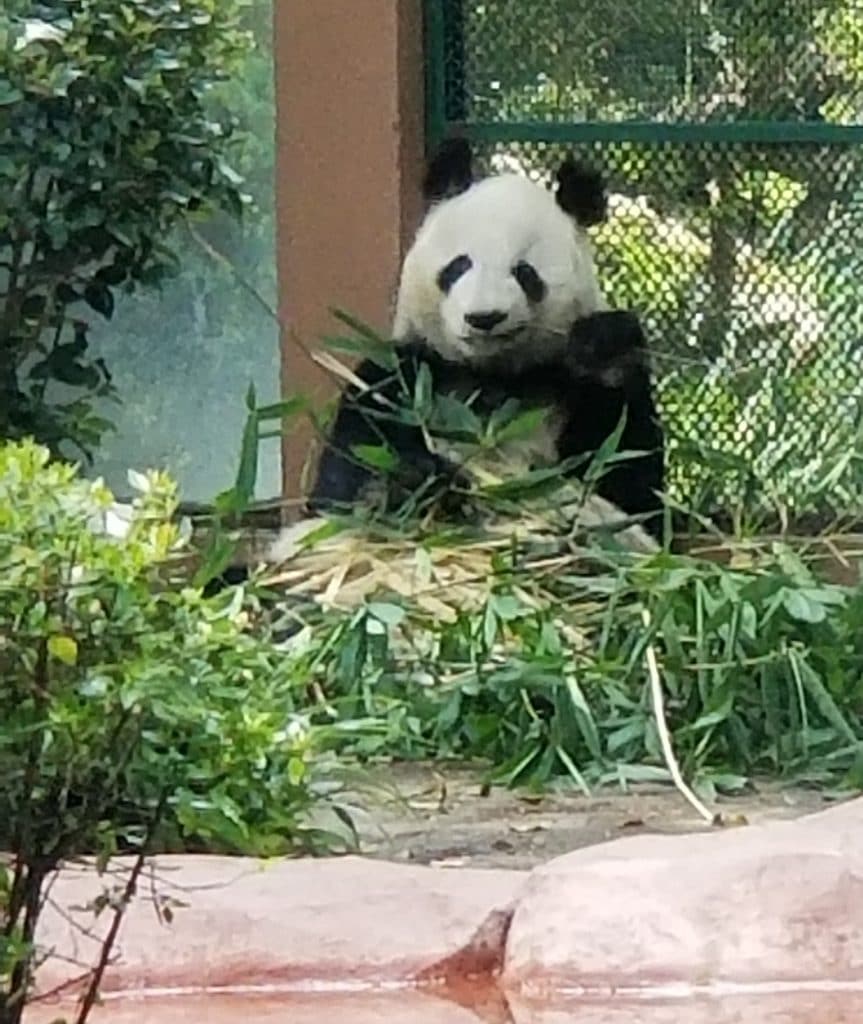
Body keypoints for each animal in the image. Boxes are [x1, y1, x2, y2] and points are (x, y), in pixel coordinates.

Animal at [264, 134, 667, 569]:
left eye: (525, 273)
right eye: (458, 266)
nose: (484, 318)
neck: (491, 375)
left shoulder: (567, 386)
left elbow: (633, 490)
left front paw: (603, 348)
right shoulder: (400, 378)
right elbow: (340, 485)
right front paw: (421, 479)